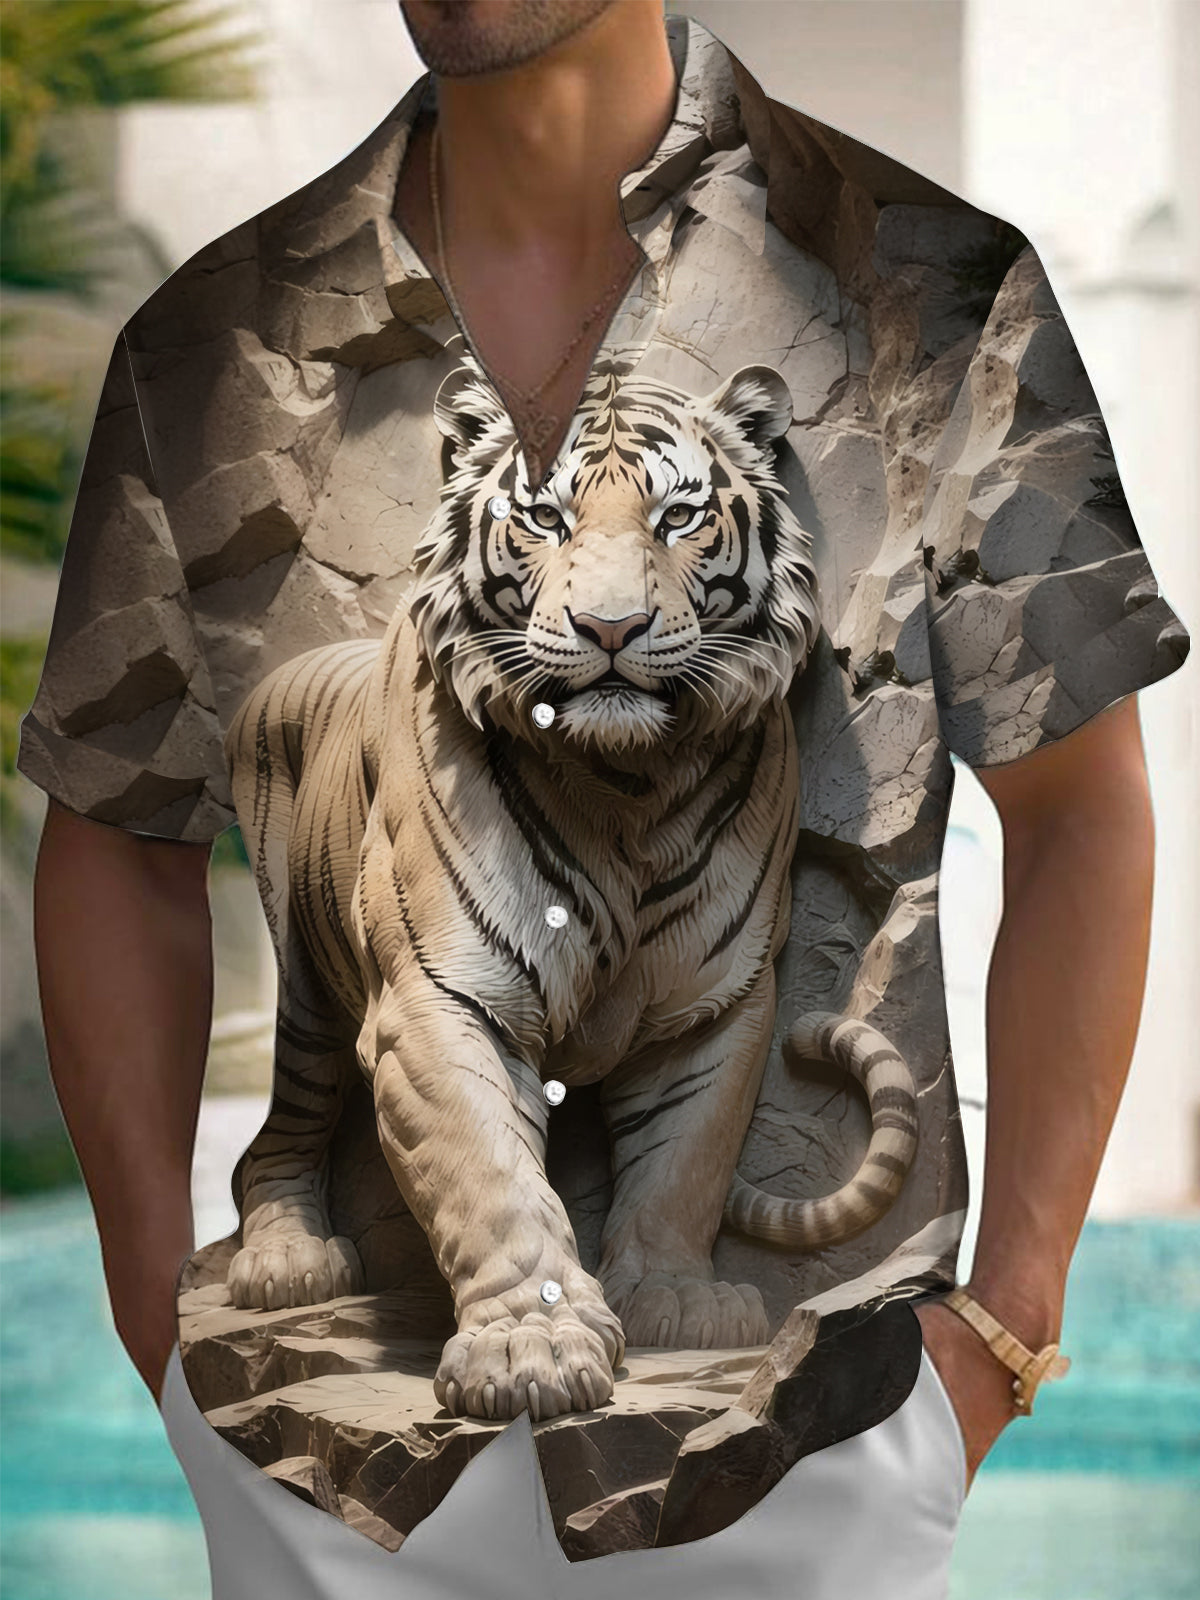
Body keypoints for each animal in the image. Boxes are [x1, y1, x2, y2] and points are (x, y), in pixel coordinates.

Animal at [222, 349, 919, 1423]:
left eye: (679, 517)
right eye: (546, 517)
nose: (611, 626)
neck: (625, 782)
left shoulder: (712, 1006)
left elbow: (684, 1160)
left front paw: (678, 1302)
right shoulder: (439, 998)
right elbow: (491, 1177)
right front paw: (530, 1351)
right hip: (302, 992)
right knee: (273, 1137)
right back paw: (287, 1261)